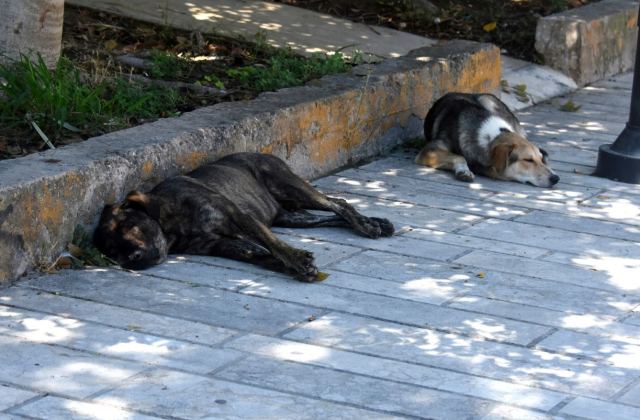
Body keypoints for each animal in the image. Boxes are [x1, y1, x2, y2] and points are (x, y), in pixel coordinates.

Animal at [92, 152, 392, 282]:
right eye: (111, 252)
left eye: (130, 226)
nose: (132, 259)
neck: (171, 225)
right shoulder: (226, 245)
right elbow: (263, 255)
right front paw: (294, 268)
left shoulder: (239, 217)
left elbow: (275, 246)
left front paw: (297, 259)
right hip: (291, 216)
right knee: (330, 214)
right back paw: (378, 223)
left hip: (290, 187)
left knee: (338, 203)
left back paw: (366, 225)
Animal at [418, 95, 556, 189]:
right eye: (528, 160)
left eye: (540, 159)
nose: (556, 178)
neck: (491, 137)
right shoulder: (430, 150)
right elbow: (459, 157)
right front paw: (464, 171)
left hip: (488, 100)